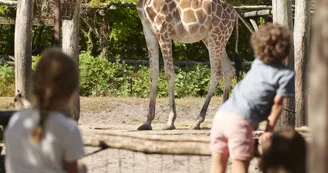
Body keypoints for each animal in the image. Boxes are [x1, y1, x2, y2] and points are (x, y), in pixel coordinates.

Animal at [137, 0, 237, 130]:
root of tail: (234, 14)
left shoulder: (163, 29)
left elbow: (169, 73)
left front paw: (170, 121)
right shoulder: (148, 31)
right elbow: (153, 73)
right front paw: (147, 122)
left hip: (216, 36)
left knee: (216, 72)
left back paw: (197, 121)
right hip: (214, 39)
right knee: (229, 70)